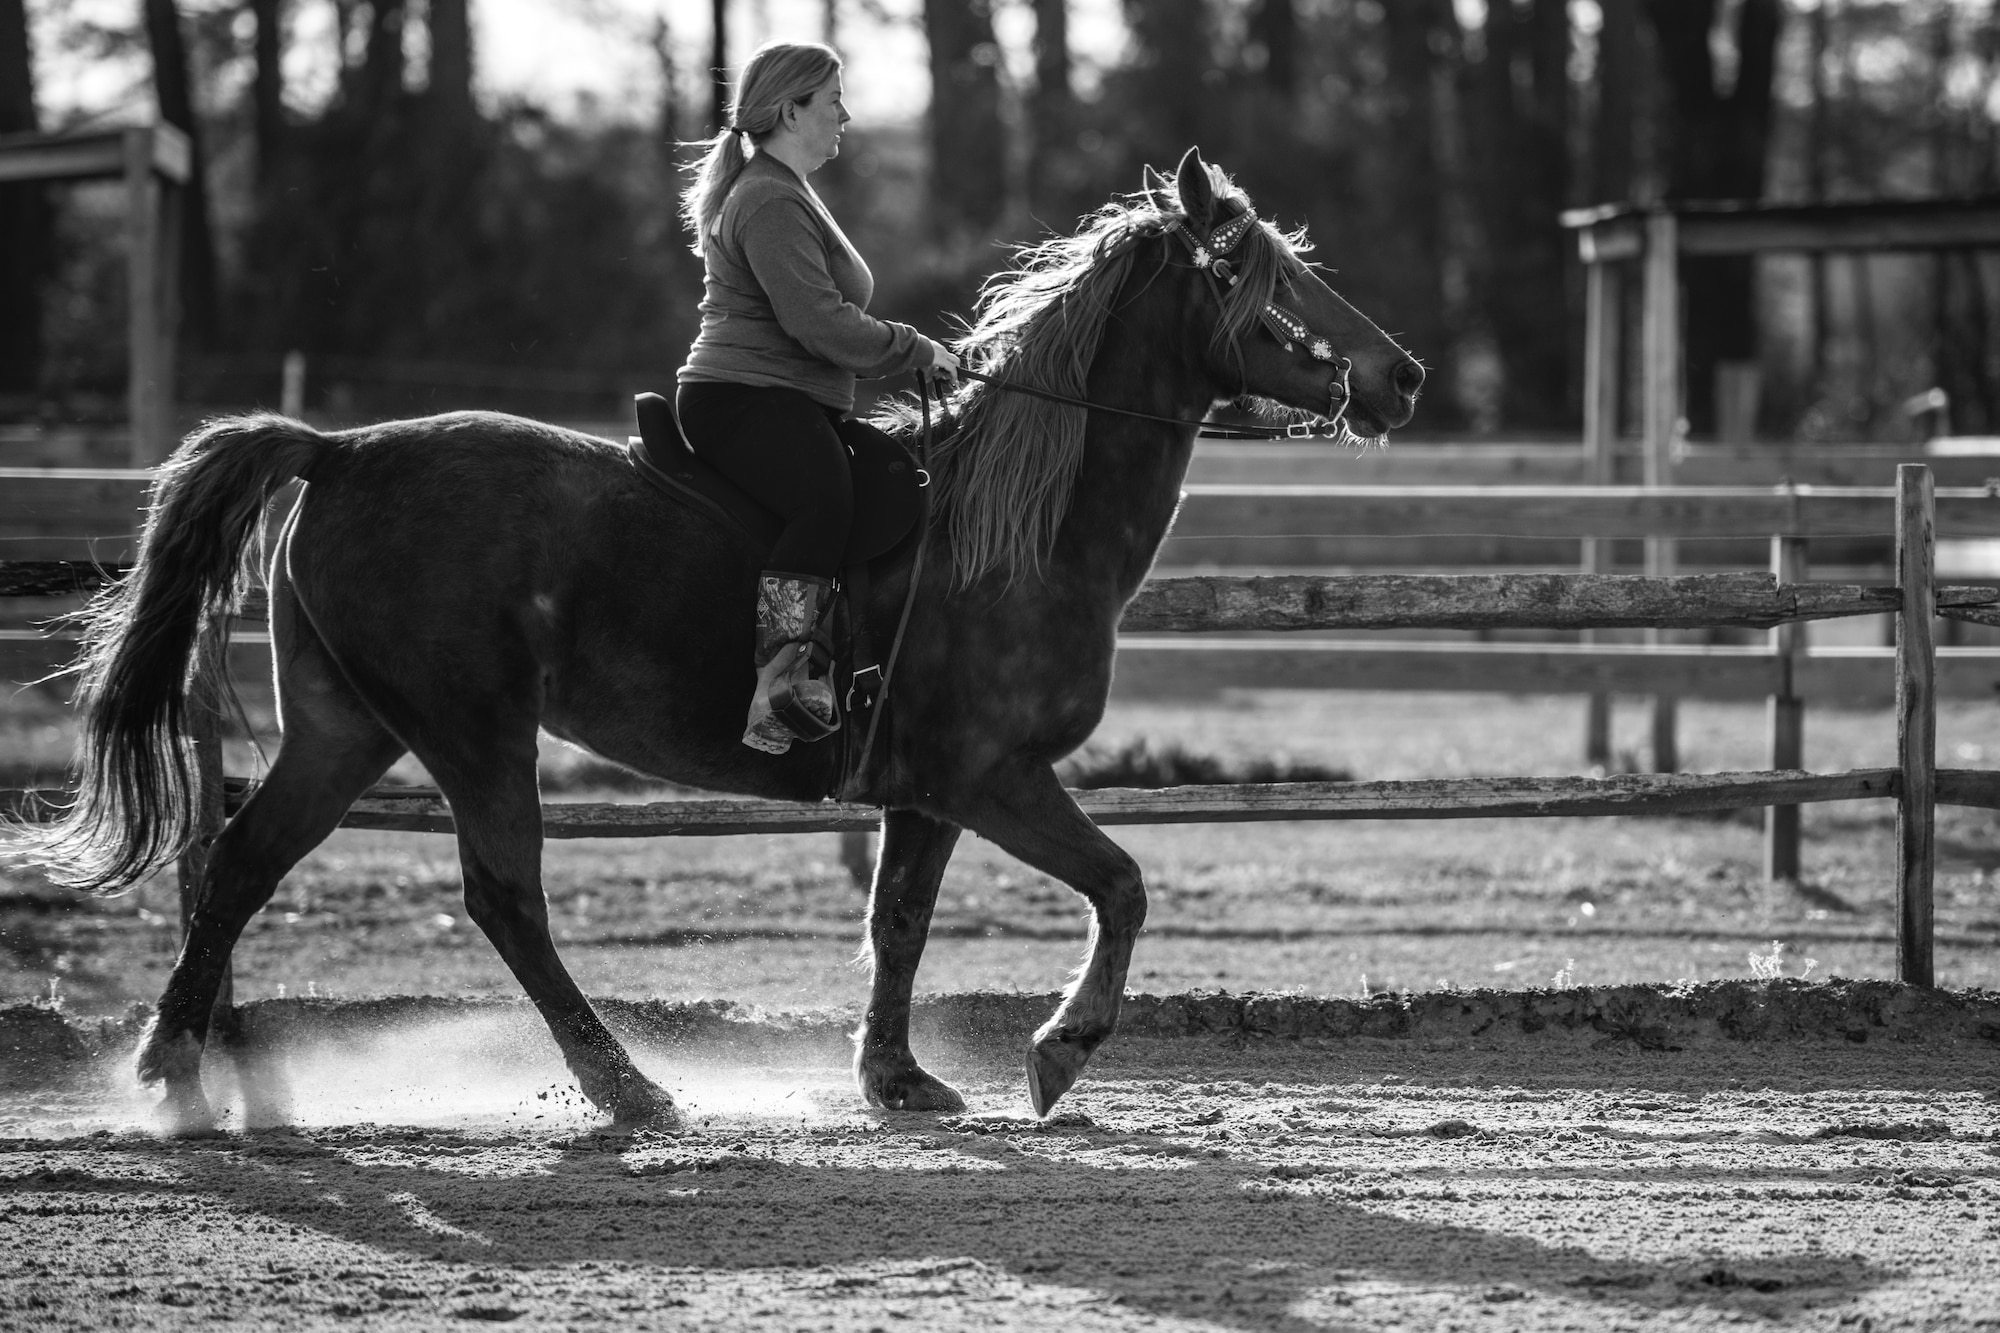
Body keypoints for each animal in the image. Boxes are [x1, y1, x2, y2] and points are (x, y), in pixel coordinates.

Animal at [15, 145, 1424, 1128]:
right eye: (1262, 275)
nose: (1399, 374)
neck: (1010, 531)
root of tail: (340, 448)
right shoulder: (992, 775)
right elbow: (1120, 885)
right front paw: (1056, 1051)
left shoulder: (921, 789)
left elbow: (899, 923)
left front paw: (897, 1080)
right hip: (469, 729)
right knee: (503, 895)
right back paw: (626, 1088)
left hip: (348, 725)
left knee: (242, 863)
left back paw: (174, 1072)